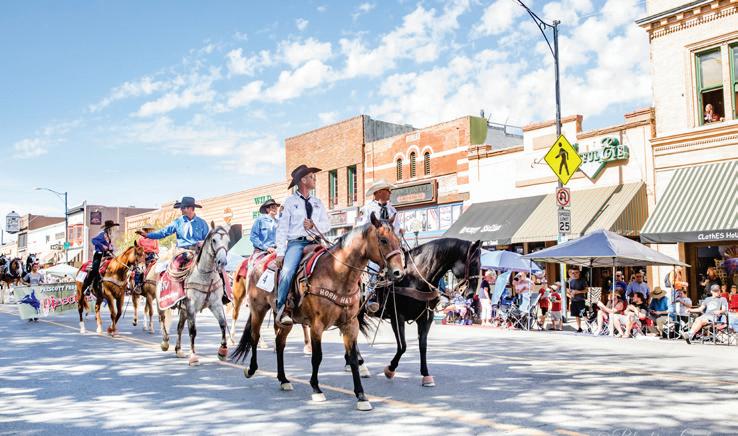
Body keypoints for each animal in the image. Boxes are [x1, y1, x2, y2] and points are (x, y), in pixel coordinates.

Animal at [160, 224, 230, 366]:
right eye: (214, 240)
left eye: (228, 241)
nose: (222, 262)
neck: (205, 276)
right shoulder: (191, 306)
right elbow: (193, 331)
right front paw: (193, 357)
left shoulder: (216, 304)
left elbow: (222, 323)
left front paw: (222, 351)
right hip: (161, 303)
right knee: (162, 319)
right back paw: (165, 342)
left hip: (183, 310)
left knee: (179, 328)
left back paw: (179, 350)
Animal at [231, 213, 404, 411]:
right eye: (383, 240)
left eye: (398, 239)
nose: (399, 272)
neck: (336, 274)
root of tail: (258, 264)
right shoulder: (317, 325)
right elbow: (317, 357)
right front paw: (316, 388)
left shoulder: (350, 324)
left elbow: (352, 358)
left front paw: (361, 396)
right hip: (258, 309)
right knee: (254, 337)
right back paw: (252, 369)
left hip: (284, 319)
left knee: (280, 343)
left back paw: (283, 379)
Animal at [363, 238, 481, 387]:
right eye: (474, 262)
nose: (471, 294)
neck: (414, 278)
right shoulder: (397, 317)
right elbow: (403, 346)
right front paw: (390, 370)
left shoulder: (426, 318)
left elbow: (423, 345)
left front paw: (426, 375)